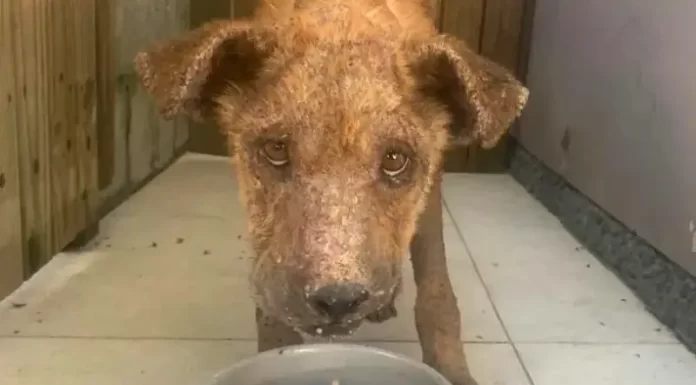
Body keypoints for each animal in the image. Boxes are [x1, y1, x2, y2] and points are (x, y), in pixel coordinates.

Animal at [135, 1, 528, 382]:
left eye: (395, 159)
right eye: (275, 149)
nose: (338, 300)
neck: (341, 22)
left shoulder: (430, 197)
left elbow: (437, 290)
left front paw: (451, 370)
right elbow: (271, 311)